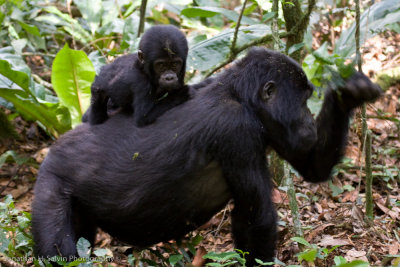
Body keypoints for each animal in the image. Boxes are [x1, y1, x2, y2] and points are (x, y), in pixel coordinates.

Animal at [32, 47, 382, 266]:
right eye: (302, 100)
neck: (239, 95)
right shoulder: (237, 130)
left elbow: (313, 167)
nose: (308, 121)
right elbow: (257, 219)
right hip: (50, 183)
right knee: (59, 254)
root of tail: (54, 149)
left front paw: (348, 95)